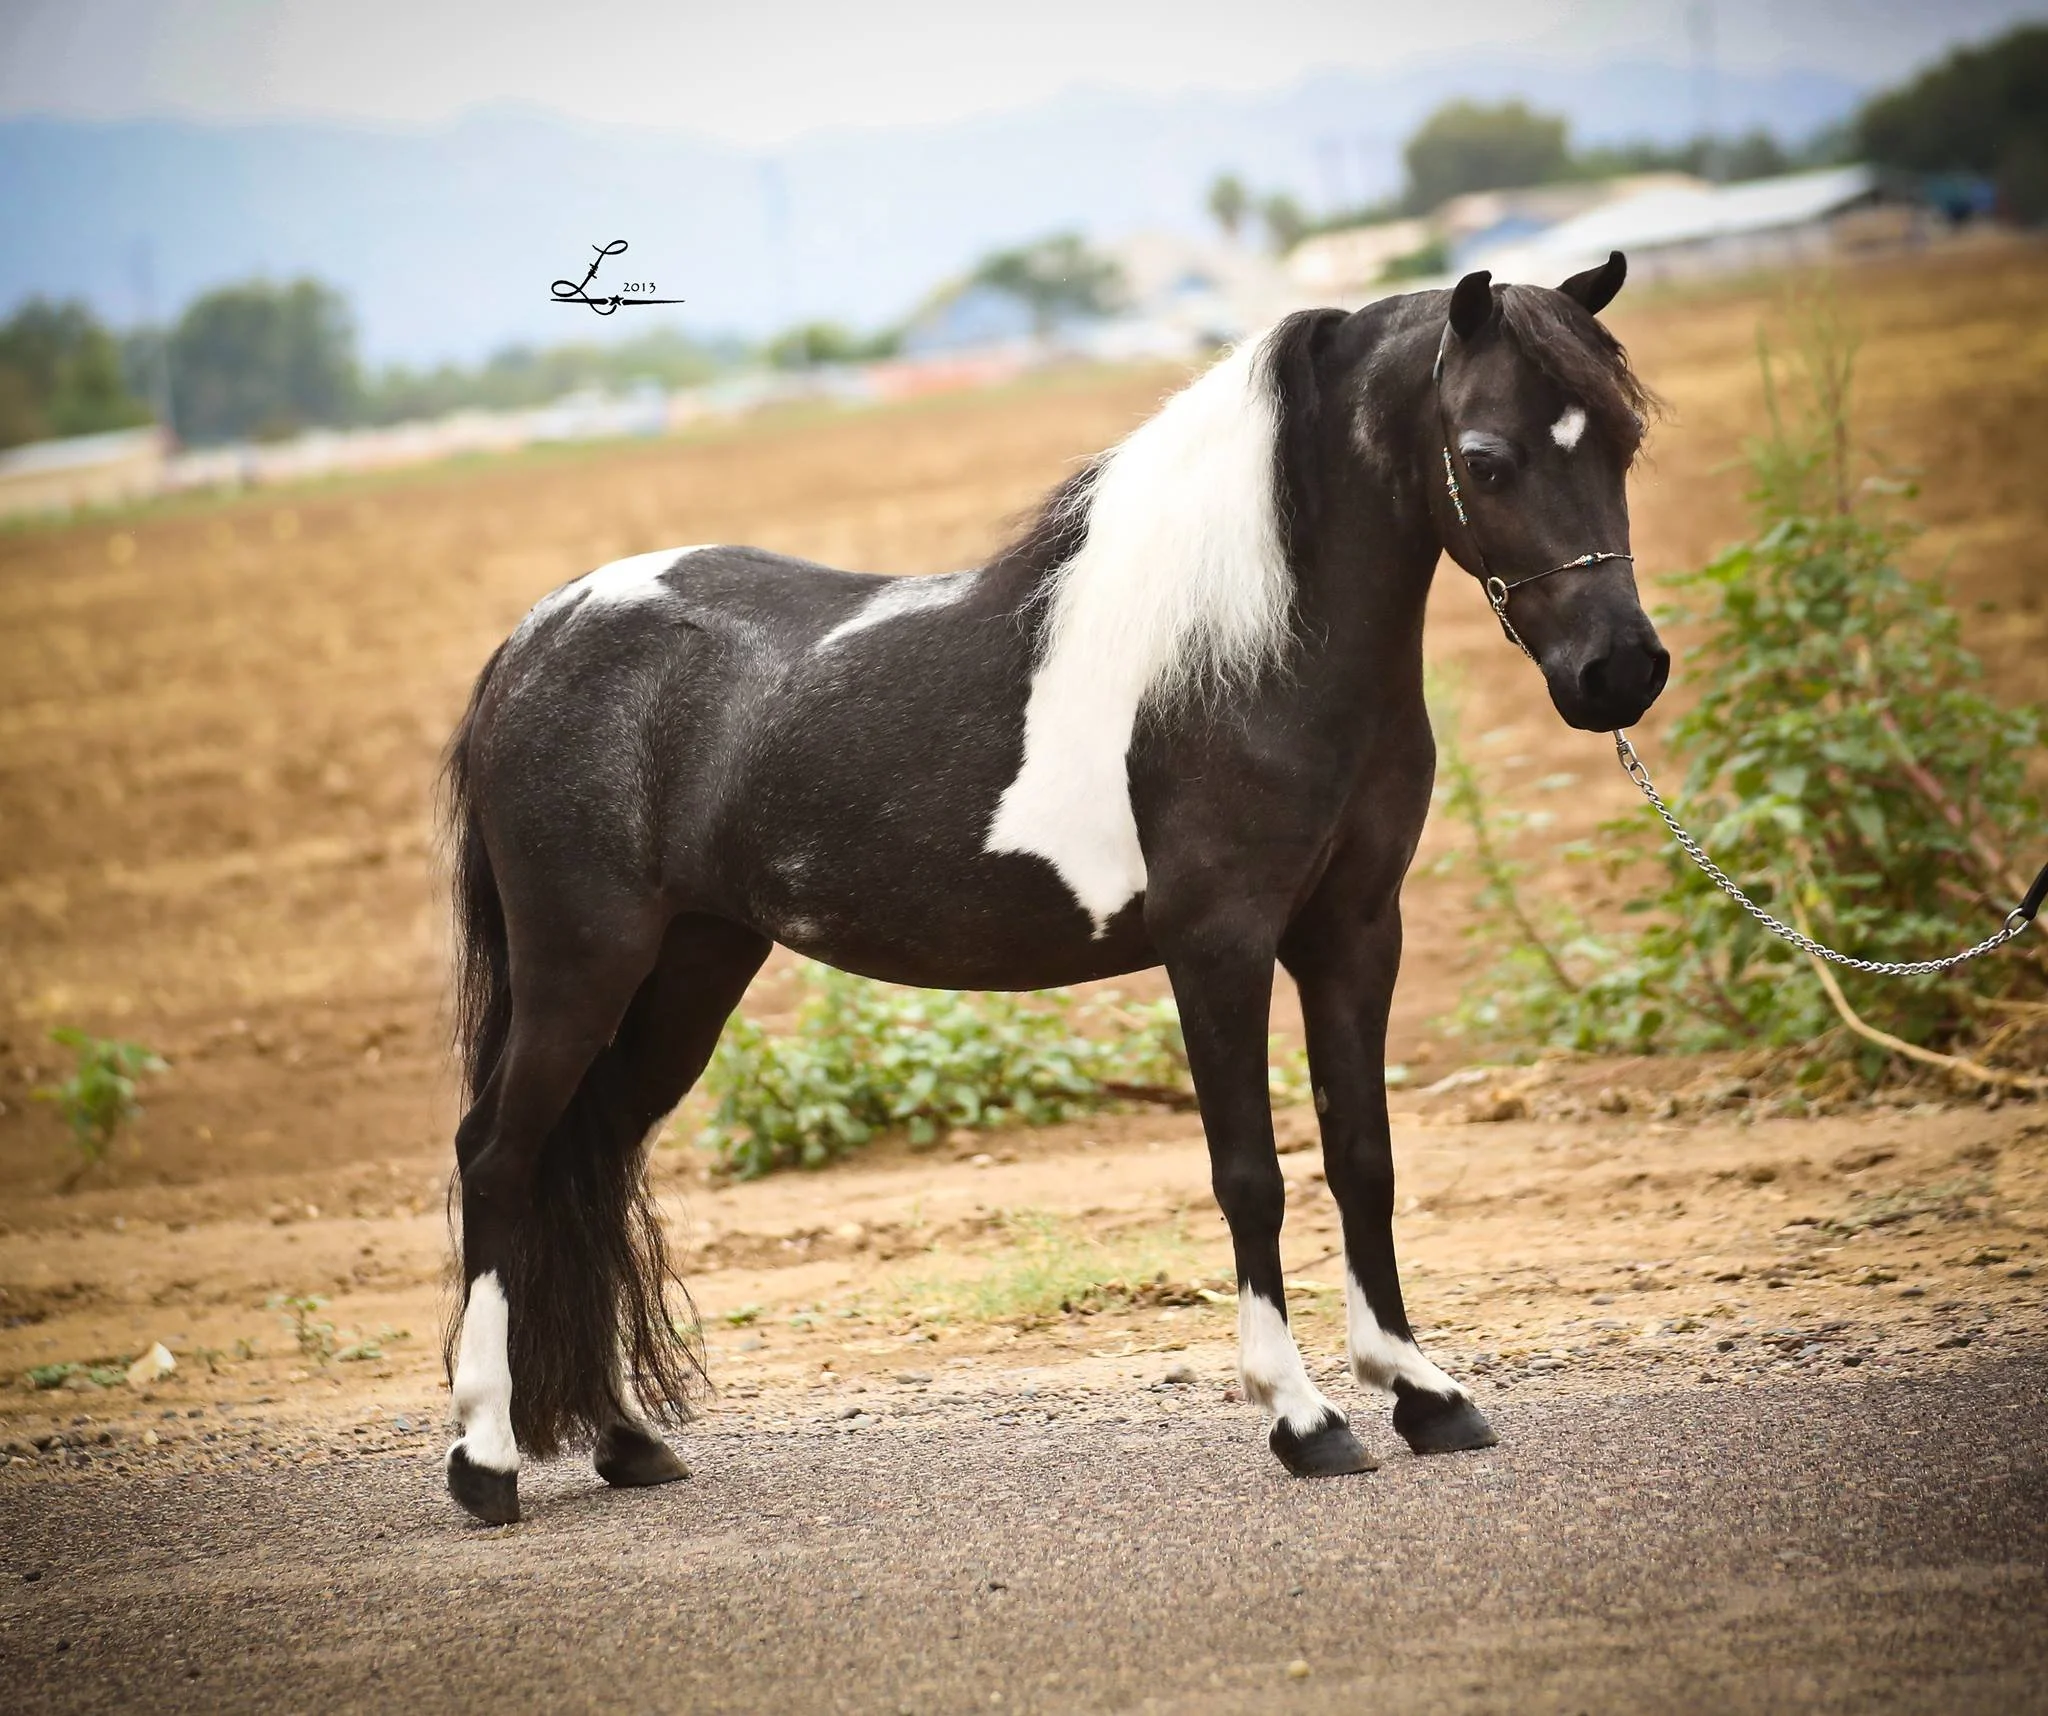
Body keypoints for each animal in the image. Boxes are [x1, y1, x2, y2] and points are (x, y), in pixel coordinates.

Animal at [438, 252, 1667, 1525]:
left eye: (1623, 439)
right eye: (1485, 456)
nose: (1617, 672)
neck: (1243, 658)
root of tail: (534, 639)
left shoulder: (1353, 935)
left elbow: (1360, 1158)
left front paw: (1423, 1394)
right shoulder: (1217, 945)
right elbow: (1250, 1176)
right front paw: (1303, 1417)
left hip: (690, 971)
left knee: (590, 1160)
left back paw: (624, 1441)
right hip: (581, 967)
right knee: (498, 1156)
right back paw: (485, 1462)